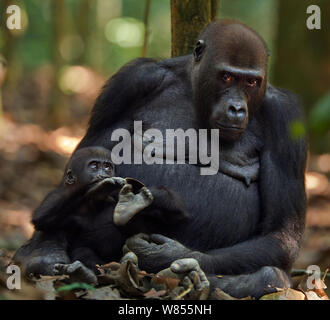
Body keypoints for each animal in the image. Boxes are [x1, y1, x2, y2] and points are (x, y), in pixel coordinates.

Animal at [31, 147, 188, 280]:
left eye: (107, 166)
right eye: (94, 166)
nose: (103, 174)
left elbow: (174, 213)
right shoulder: (60, 203)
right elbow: (43, 219)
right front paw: (98, 187)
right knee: (84, 251)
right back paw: (85, 274)